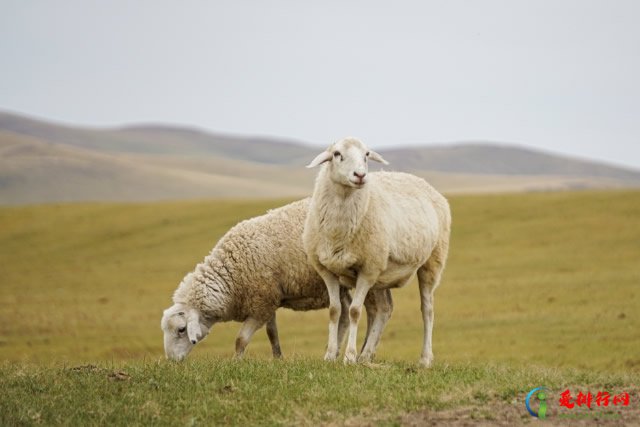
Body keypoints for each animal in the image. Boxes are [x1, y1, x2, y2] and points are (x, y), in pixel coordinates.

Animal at [160, 197, 384, 362]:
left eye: (181, 330)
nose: (172, 360)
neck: (231, 273)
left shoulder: (261, 304)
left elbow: (240, 339)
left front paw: (236, 362)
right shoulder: (268, 298)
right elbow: (272, 333)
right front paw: (277, 358)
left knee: (375, 311)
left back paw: (361, 354)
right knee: (345, 312)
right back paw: (336, 351)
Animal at [304, 138, 450, 368]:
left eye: (366, 155)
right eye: (337, 154)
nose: (360, 175)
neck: (338, 232)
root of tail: (423, 182)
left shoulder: (367, 269)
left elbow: (354, 311)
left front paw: (349, 356)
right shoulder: (326, 270)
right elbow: (334, 310)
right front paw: (330, 355)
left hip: (431, 262)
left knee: (427, 310)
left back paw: (425, 359)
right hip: (382, 271)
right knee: (384, 309)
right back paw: (366, 355)